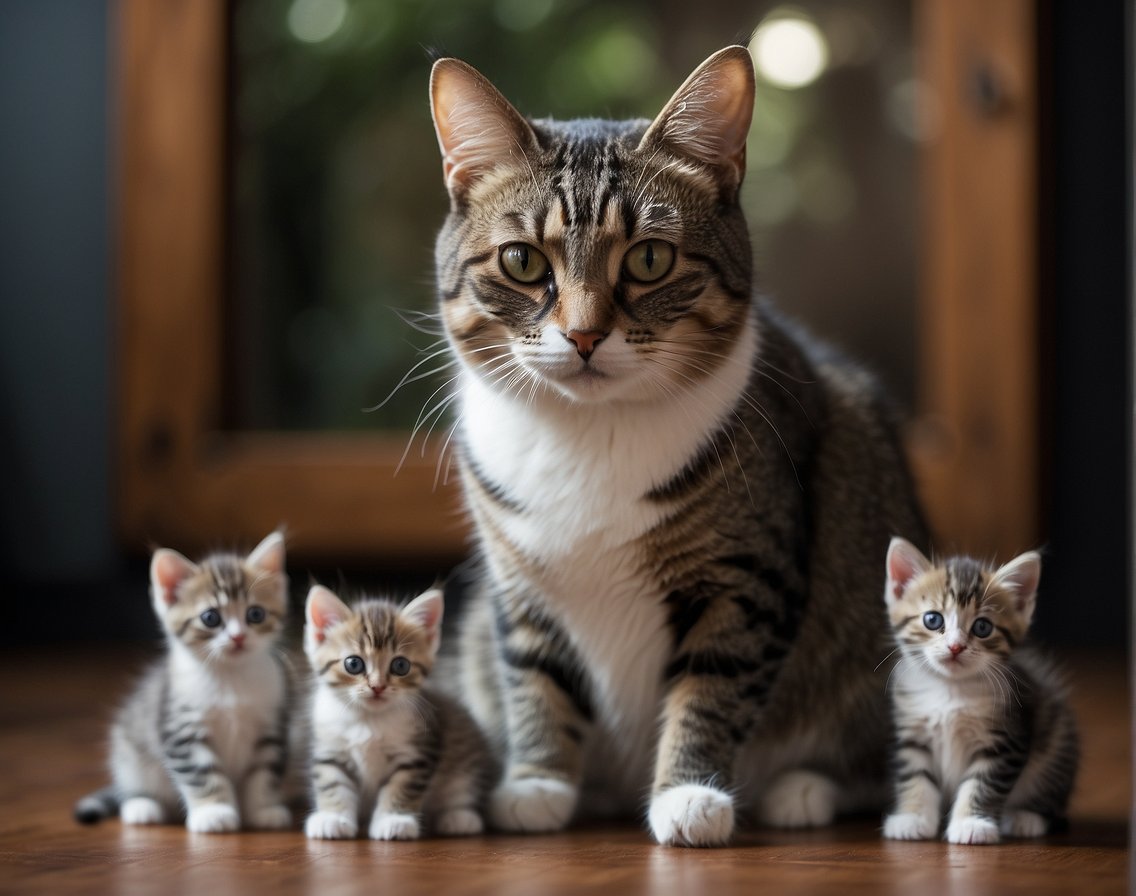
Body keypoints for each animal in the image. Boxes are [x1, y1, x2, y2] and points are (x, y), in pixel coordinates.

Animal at [72, 531, 297, 831]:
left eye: (256, 614)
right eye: (210, 617)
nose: (238, 637)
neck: (230, 678)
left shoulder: (271, 727)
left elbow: (264, 773)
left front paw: (263, 810)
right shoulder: (182, 730)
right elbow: (201, 775)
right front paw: (214, 812)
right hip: (129, 751)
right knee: (131, 784)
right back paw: (141, 805)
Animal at [302, 585, 493, 840]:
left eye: (400, 665)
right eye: (353, 664)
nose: (378, 686)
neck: (369, 720)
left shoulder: (417, 753)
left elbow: (402, 787)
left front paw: (394, 820)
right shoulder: (331, 749)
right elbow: (332, 783)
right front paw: (333, 817)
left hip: (466, 753)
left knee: (462, 787)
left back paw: (459, 817)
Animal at [422, 45, 926, 840]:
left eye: (650, 260)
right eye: (522, 262)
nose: (584, 335)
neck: (591, 433)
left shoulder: (744, 579)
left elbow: (711, 691)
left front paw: (688, 794)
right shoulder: (519, 588)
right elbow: (534, 679)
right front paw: (537, 784)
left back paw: (803, 789)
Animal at [881, 533, 1076, 840]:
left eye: (982, 627)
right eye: (932, 619)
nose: (956, 647)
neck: (949, 690)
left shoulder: (1005, 740)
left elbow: (982, 783)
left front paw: (971, 824)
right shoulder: (913, 734)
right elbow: (916, 777)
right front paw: (912, 818)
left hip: (1058, 743)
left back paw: (1026, 818)